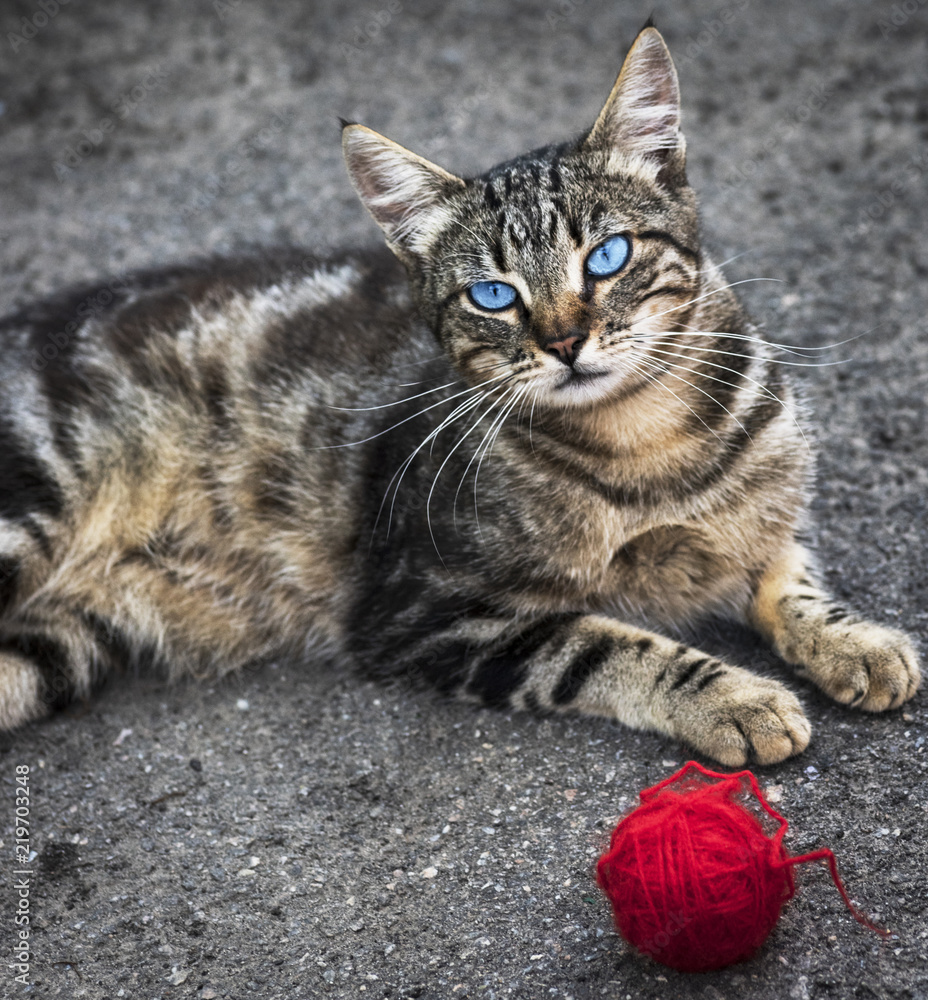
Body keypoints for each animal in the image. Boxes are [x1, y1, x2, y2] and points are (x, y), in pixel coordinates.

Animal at [0, 25, 916, 764]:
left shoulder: (764, 513)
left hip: (54, 646)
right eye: (494, 295)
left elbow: (791, 571)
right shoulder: (425, 608)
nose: (564, 342)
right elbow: (606, 643)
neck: (651, 446)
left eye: (608, 256)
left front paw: (856, 643)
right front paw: (734, 698)